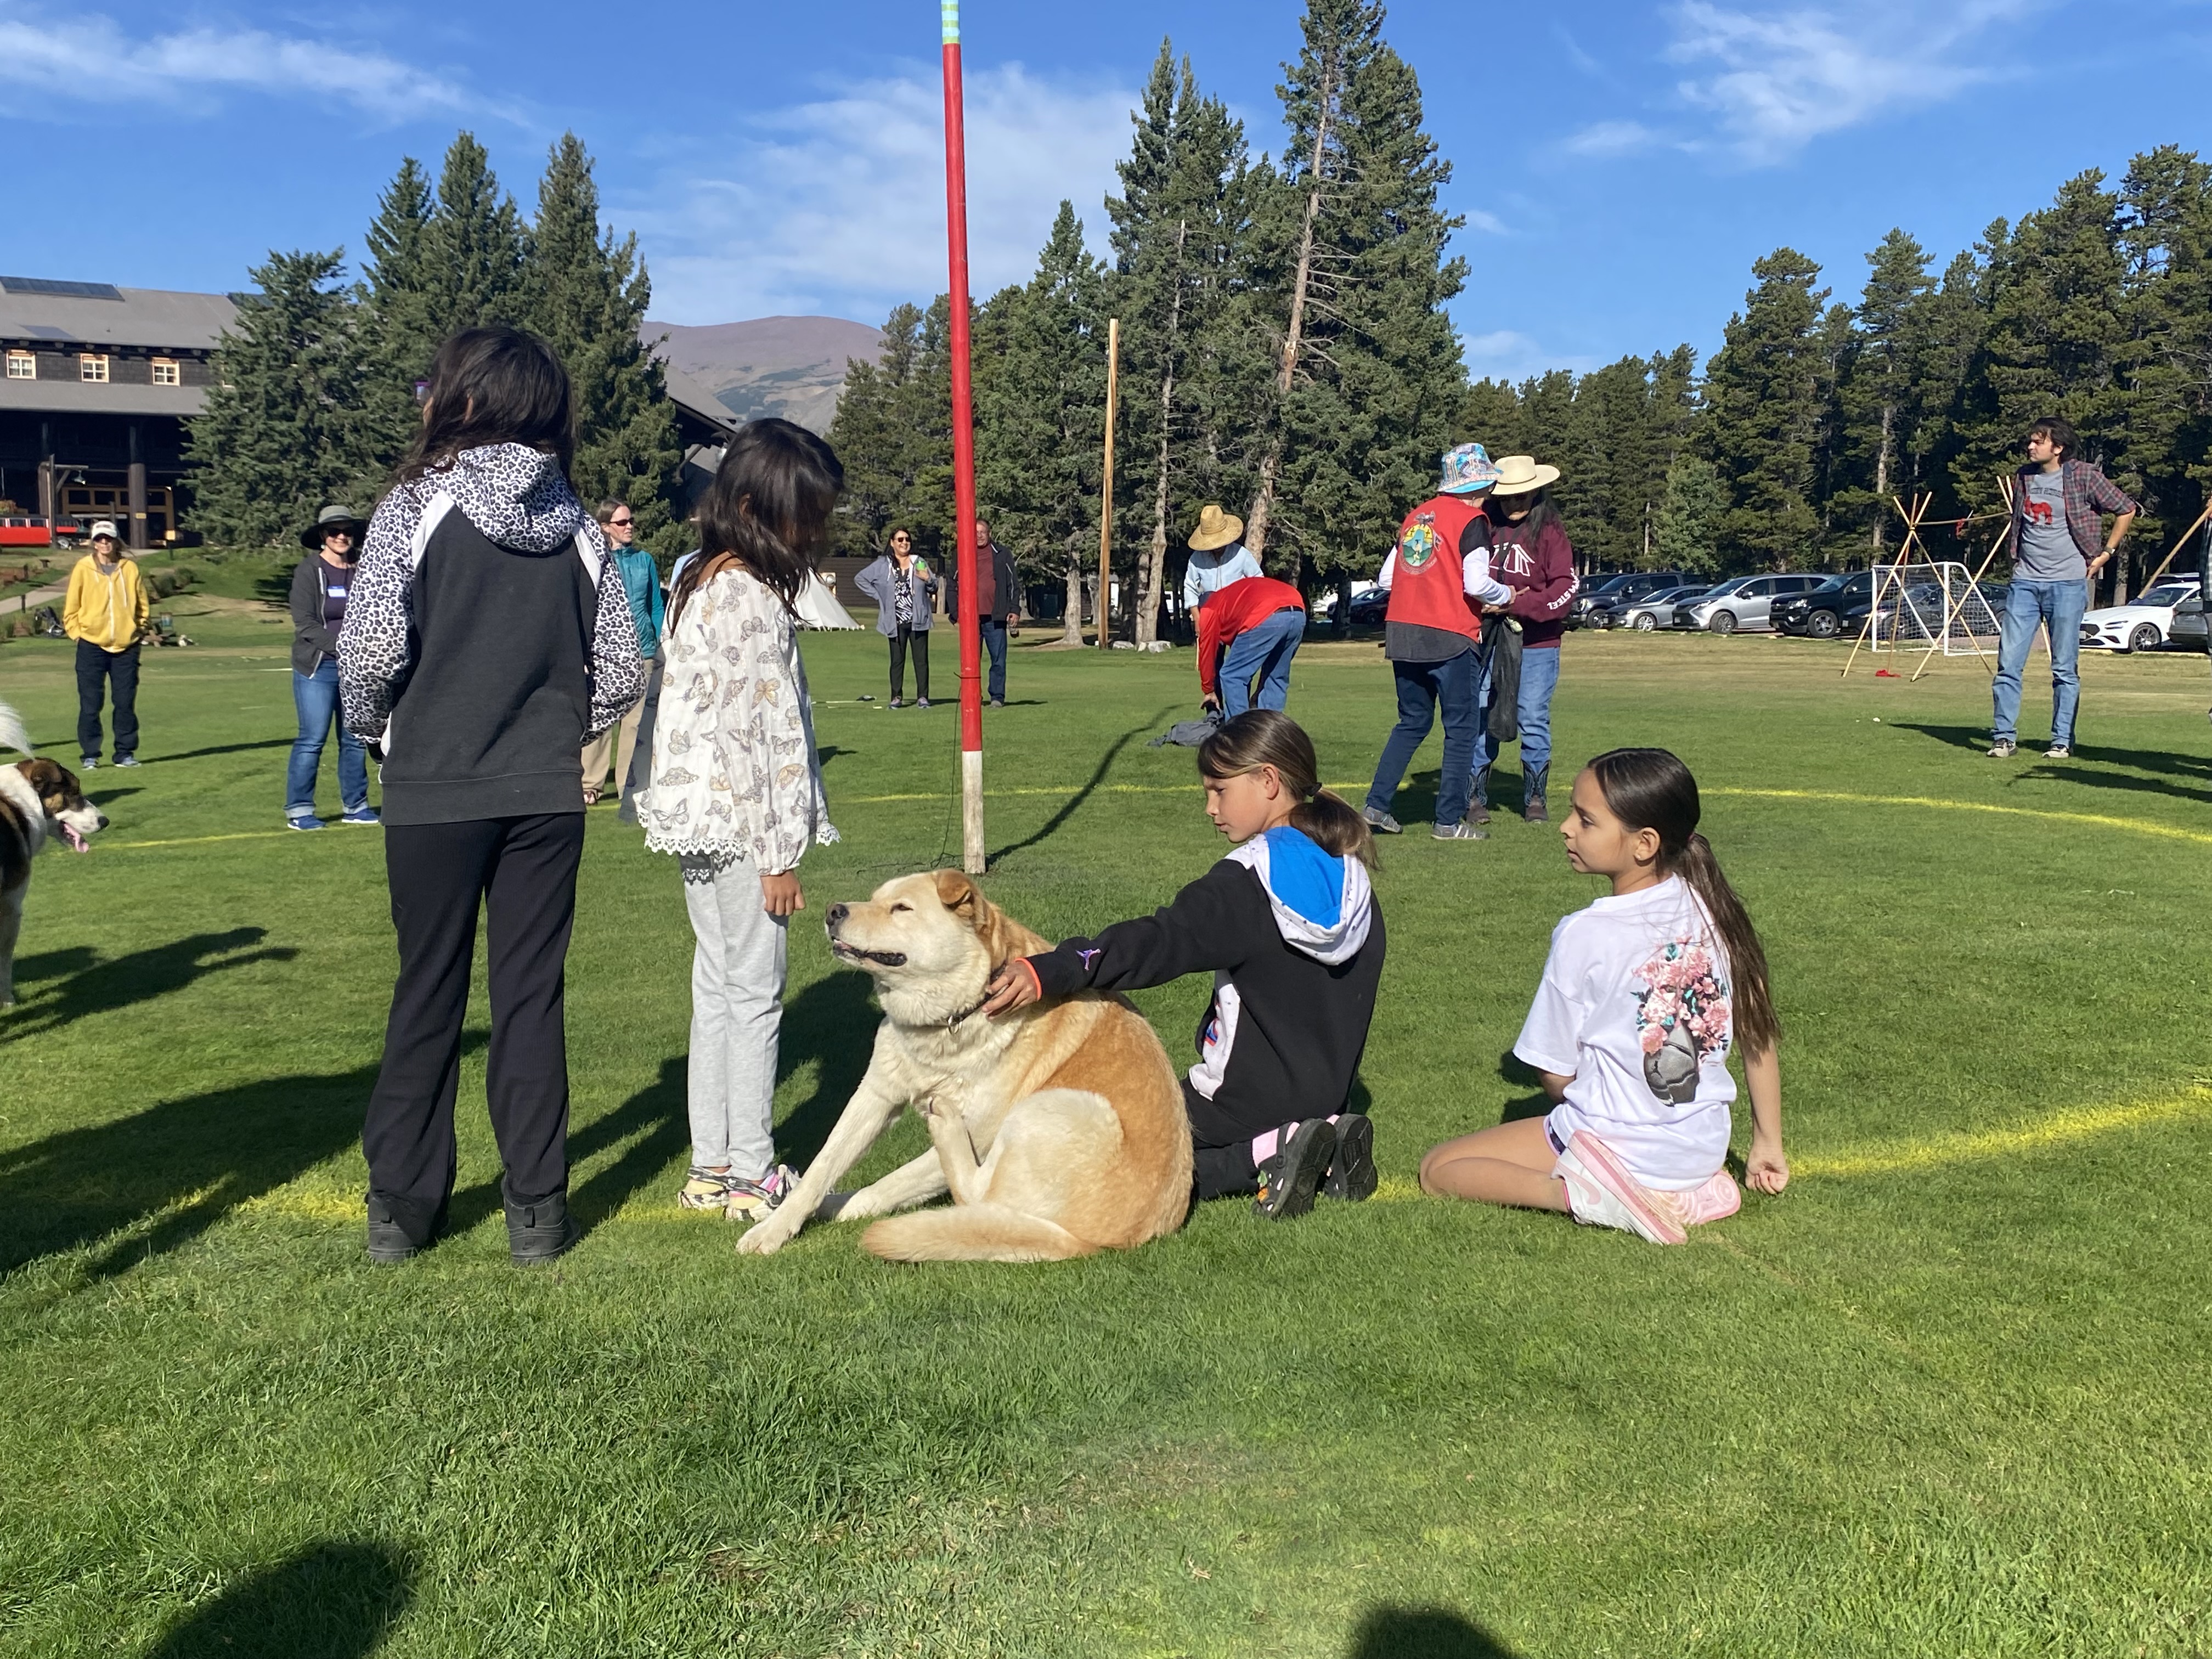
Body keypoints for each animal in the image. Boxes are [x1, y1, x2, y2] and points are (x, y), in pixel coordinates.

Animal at [1, 703, 106, 1013]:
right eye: (75, 792)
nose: (105, 821)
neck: (19, 801)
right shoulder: (10, 907)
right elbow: (4, 964)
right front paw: (7, 1001)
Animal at [734, 871, 1194, 1256]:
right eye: (874, 898)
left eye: (901, 908)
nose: (833, 911)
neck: (950, 1020)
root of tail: (1087, 1243)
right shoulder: (875, 1095)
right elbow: (820, 1170)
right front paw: (775, 1229)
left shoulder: (985, 1133)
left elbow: (889, 1184)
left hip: (1064, 1107)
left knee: (975, 1196)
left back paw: (940, 1130)